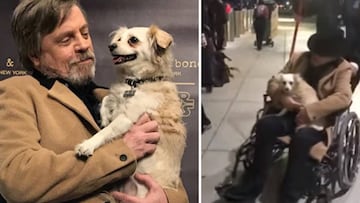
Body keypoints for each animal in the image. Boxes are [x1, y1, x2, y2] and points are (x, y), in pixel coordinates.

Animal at [74, 24, 186, 197]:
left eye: (133, 40)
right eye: (119, 39)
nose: (111, 46)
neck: (136, 82)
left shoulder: (127, 118)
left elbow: (106, 131)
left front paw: (87, 145)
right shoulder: (117, 98)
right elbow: (107, 99)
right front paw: (104, 118)